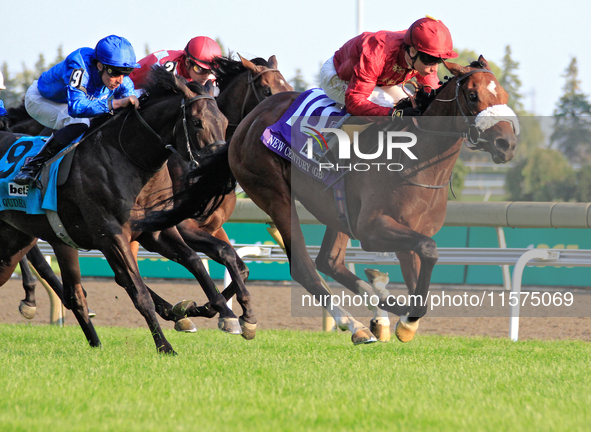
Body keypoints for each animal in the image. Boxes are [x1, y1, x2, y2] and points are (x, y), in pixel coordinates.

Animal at [134, 56, 520, 344]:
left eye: (501, 91)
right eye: (473, 96)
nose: (506, 143)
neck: (417, 159)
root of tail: (246, 123)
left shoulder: (407, 232)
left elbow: (420, 276)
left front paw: (402, 317)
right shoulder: (373, 229)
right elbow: (429, 250)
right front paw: (402, 320)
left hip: (335, 211)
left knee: (327, 261)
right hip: (275, 193)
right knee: (305, 267)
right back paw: (355, 325)